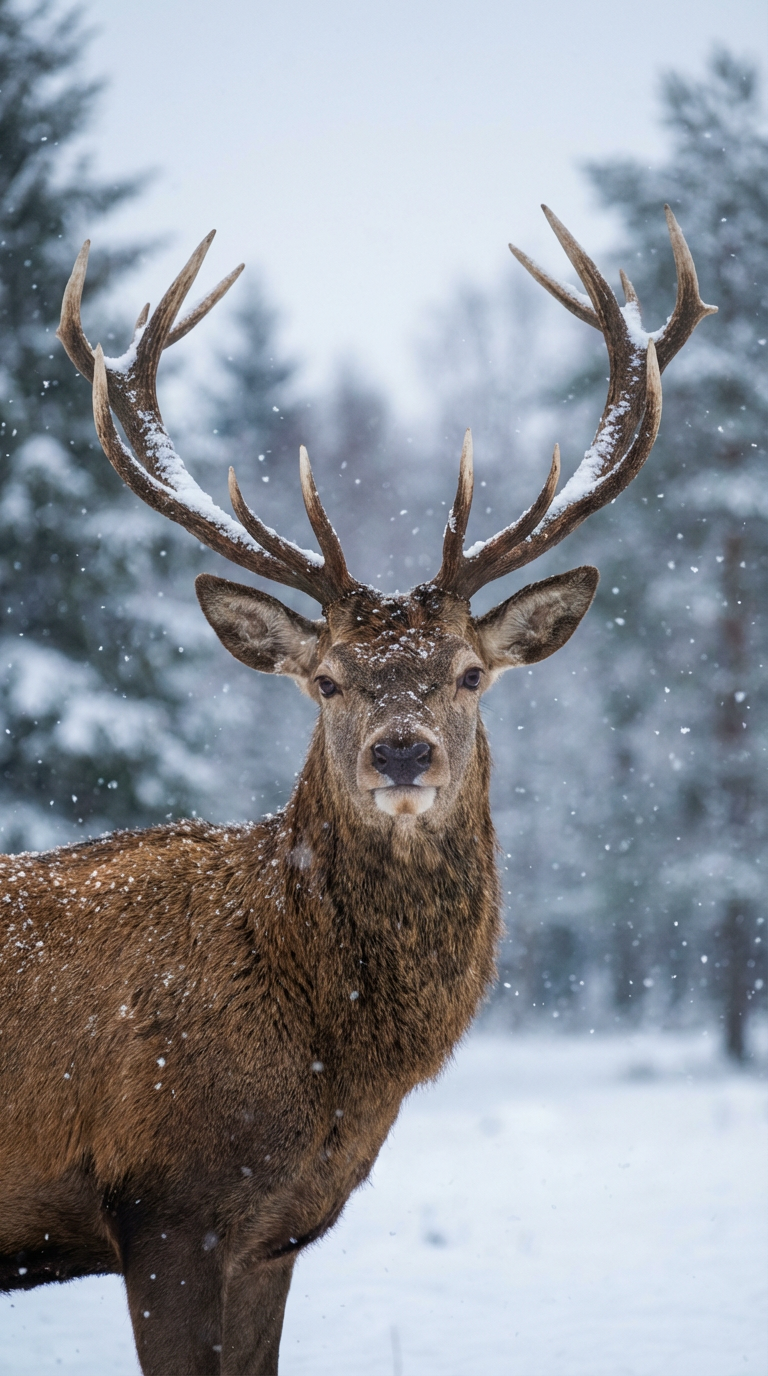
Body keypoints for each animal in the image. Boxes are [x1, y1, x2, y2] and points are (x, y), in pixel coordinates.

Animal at [0, 205, 715, 1374]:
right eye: (327, 679)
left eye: (469, 673)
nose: (402, 752)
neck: (335, 1069)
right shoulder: (163, 1206)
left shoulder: (272, 1235)